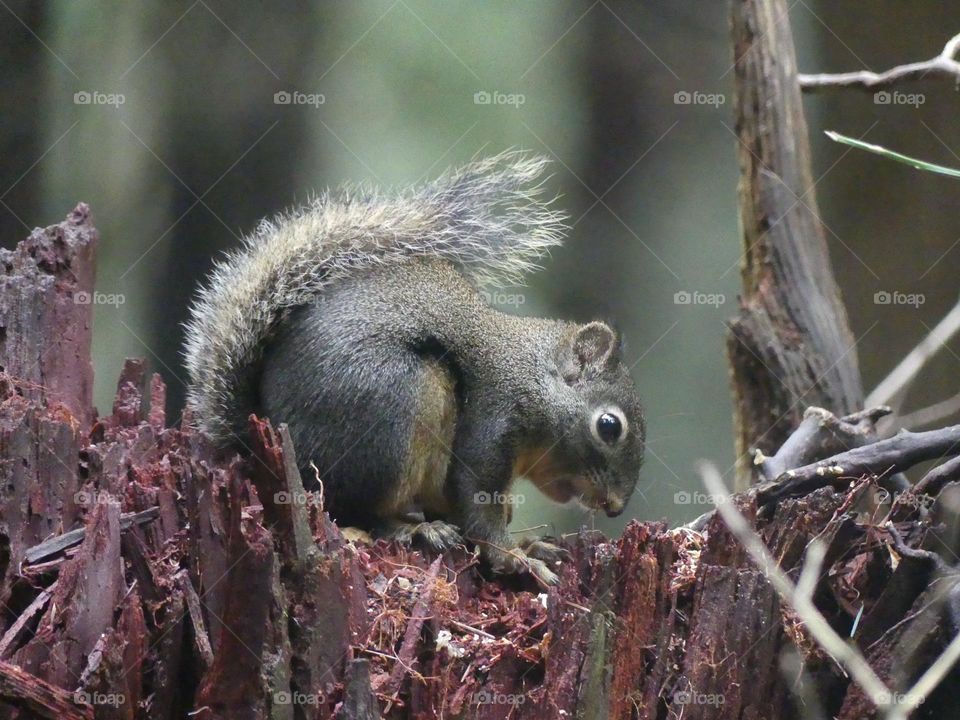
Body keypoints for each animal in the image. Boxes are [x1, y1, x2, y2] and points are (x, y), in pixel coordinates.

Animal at [183, 152, 645, 585]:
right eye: (609, 426)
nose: (615, 507)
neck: (529, 374)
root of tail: (252, 436)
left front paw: (532, 543)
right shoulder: (494, 417)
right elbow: (477, 505)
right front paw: (517, 558)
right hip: (396, 406)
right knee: (352, 510)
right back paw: (413, 530)